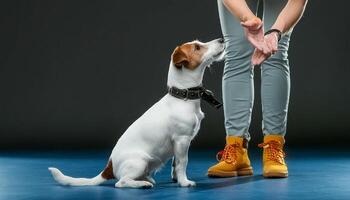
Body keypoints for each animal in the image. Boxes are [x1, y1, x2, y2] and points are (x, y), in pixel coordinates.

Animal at [47, 38, 226, 188]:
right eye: (197, 47)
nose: (222, 39)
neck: (182, 97)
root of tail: (109, 168)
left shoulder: (179, 143)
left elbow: (175, 164)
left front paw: (176, 179)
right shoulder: (182, 140)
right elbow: (183, 163)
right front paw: (184, 182)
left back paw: (147, 179)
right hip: (140, 161)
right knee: (121, 182)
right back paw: (142, 184)